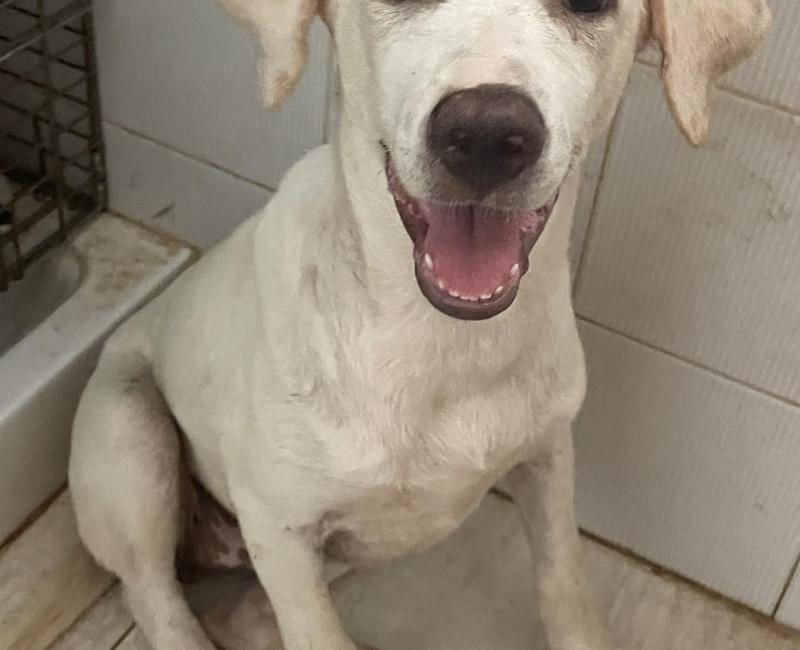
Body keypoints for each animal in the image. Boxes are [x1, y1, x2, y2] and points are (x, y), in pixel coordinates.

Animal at [68, 1, 770, 648]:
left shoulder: (548, 455)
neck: (441, 343)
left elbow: (563, 581)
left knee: (244, 618)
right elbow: (315, 635)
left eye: (590, 4)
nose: (486, 132)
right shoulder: (281, 529)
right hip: (132, 438)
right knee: (158, 604)